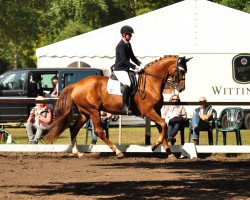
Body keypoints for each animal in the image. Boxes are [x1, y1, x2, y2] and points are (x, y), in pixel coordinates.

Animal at [44, 55, 191, 157]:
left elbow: (162, 127)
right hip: (93, 112)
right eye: (181, 71)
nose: (182, 88)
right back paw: (117, 151)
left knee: (74, 128)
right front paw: (154, 146)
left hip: (85, 113)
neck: (151, 82)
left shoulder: (157, 111)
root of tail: (76, 85)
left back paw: (77, 152)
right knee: (98, 131)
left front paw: (168, 152)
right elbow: (164, 125)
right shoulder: (148, 111)